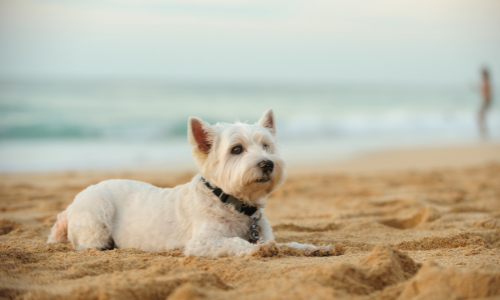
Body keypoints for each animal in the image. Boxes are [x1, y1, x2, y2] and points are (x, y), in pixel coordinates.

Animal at [47, 111, 332, 256]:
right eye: (236, 150)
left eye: (266, 146)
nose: (267, 164)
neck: (231, 203)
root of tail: (71, 206)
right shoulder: (202, 242)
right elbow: (234, 242)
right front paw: (260, 249)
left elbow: (288, 244)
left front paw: (312, 247)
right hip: (97, 216)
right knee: (89, 244)